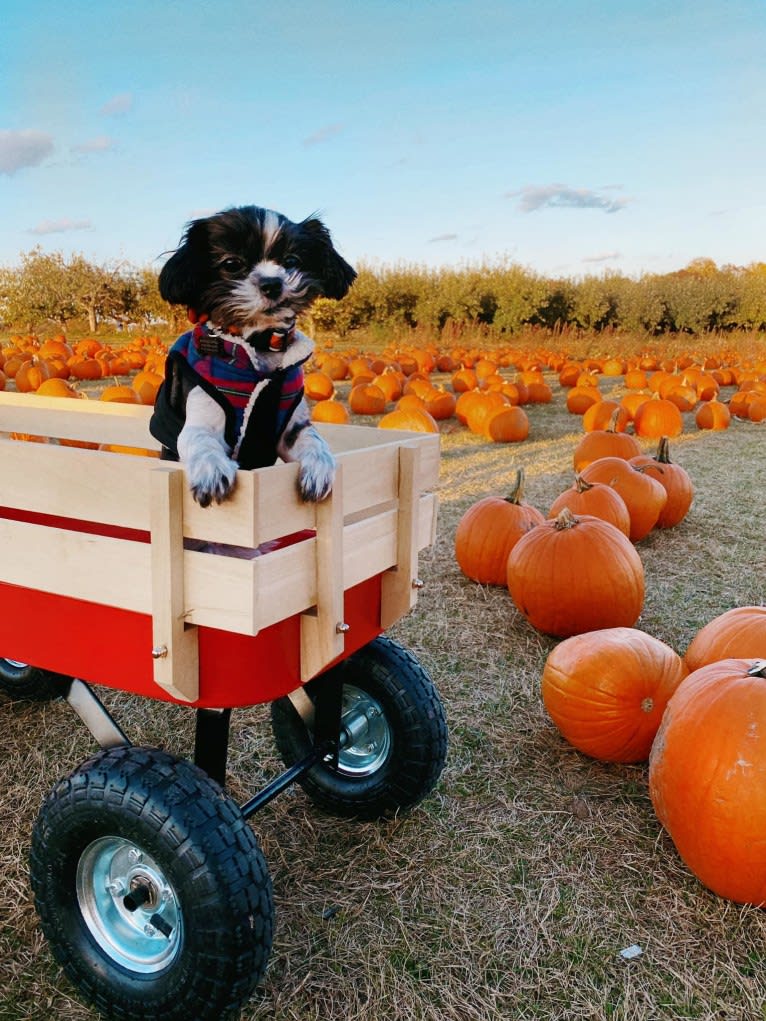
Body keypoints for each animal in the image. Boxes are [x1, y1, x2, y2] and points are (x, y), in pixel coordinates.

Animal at [150, 206, 357, 506]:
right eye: (231, 263)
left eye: (291, 260)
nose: (273, 283)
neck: (258, 343)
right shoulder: (202, 413)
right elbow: (201, 439)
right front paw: (212, 470)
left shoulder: (290, 429)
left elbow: (313, 439)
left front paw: (320, 467)